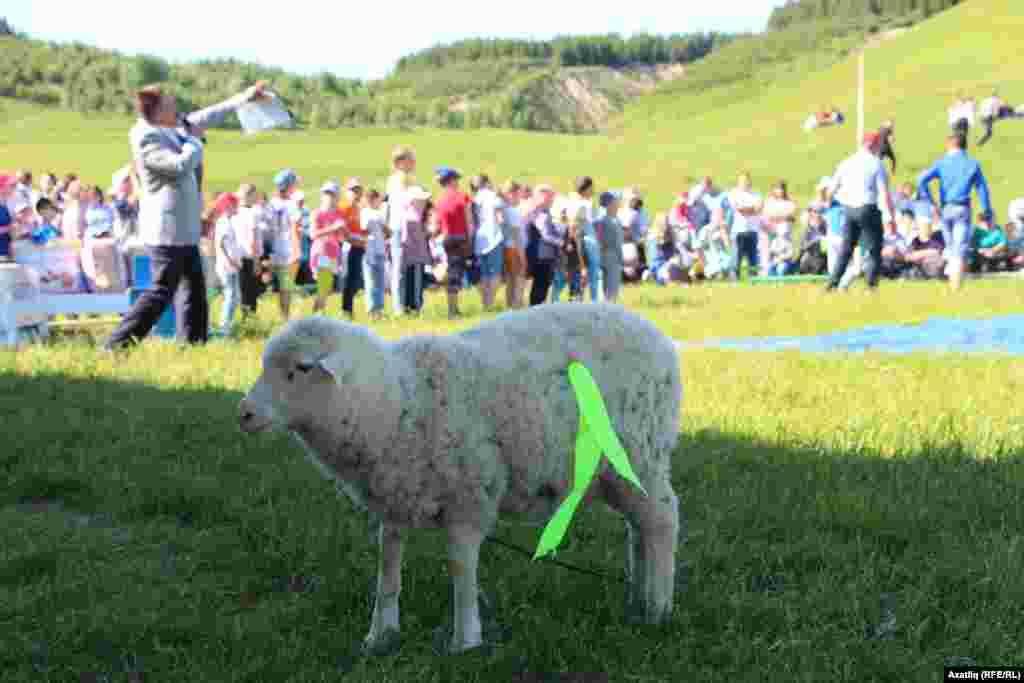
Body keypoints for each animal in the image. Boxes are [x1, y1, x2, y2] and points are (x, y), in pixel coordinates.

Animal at [239, 303, 684, 651]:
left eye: (302, 368)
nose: (244, 413)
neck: (394, 400)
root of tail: (661, 342)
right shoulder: (394, 497)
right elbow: (388, 566)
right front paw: (380, 634)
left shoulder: (469, 497)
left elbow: (460, 566)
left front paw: (465, 639)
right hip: (617, 474)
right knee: (639, 527)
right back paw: (638, 598)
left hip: (641, 454)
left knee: (663, 521)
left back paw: (658, 608)